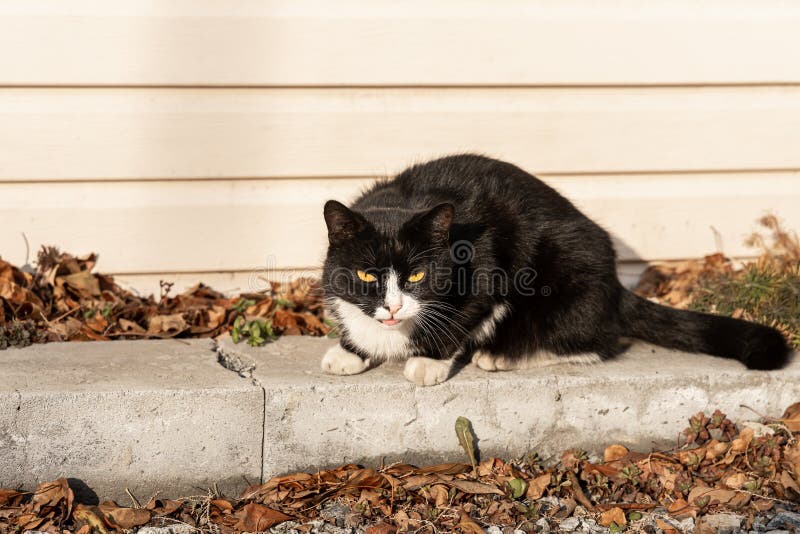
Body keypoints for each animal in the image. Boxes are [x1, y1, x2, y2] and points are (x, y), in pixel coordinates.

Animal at [318, 154, 788, 386]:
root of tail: (616, 284)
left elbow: (461, 316)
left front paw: (428, 362)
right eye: (366, 275)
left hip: (565, 273)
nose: (394, 308)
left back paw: (504, 355)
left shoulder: (488, 262)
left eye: (416, 276)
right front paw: (350, 351)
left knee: (598, 342)